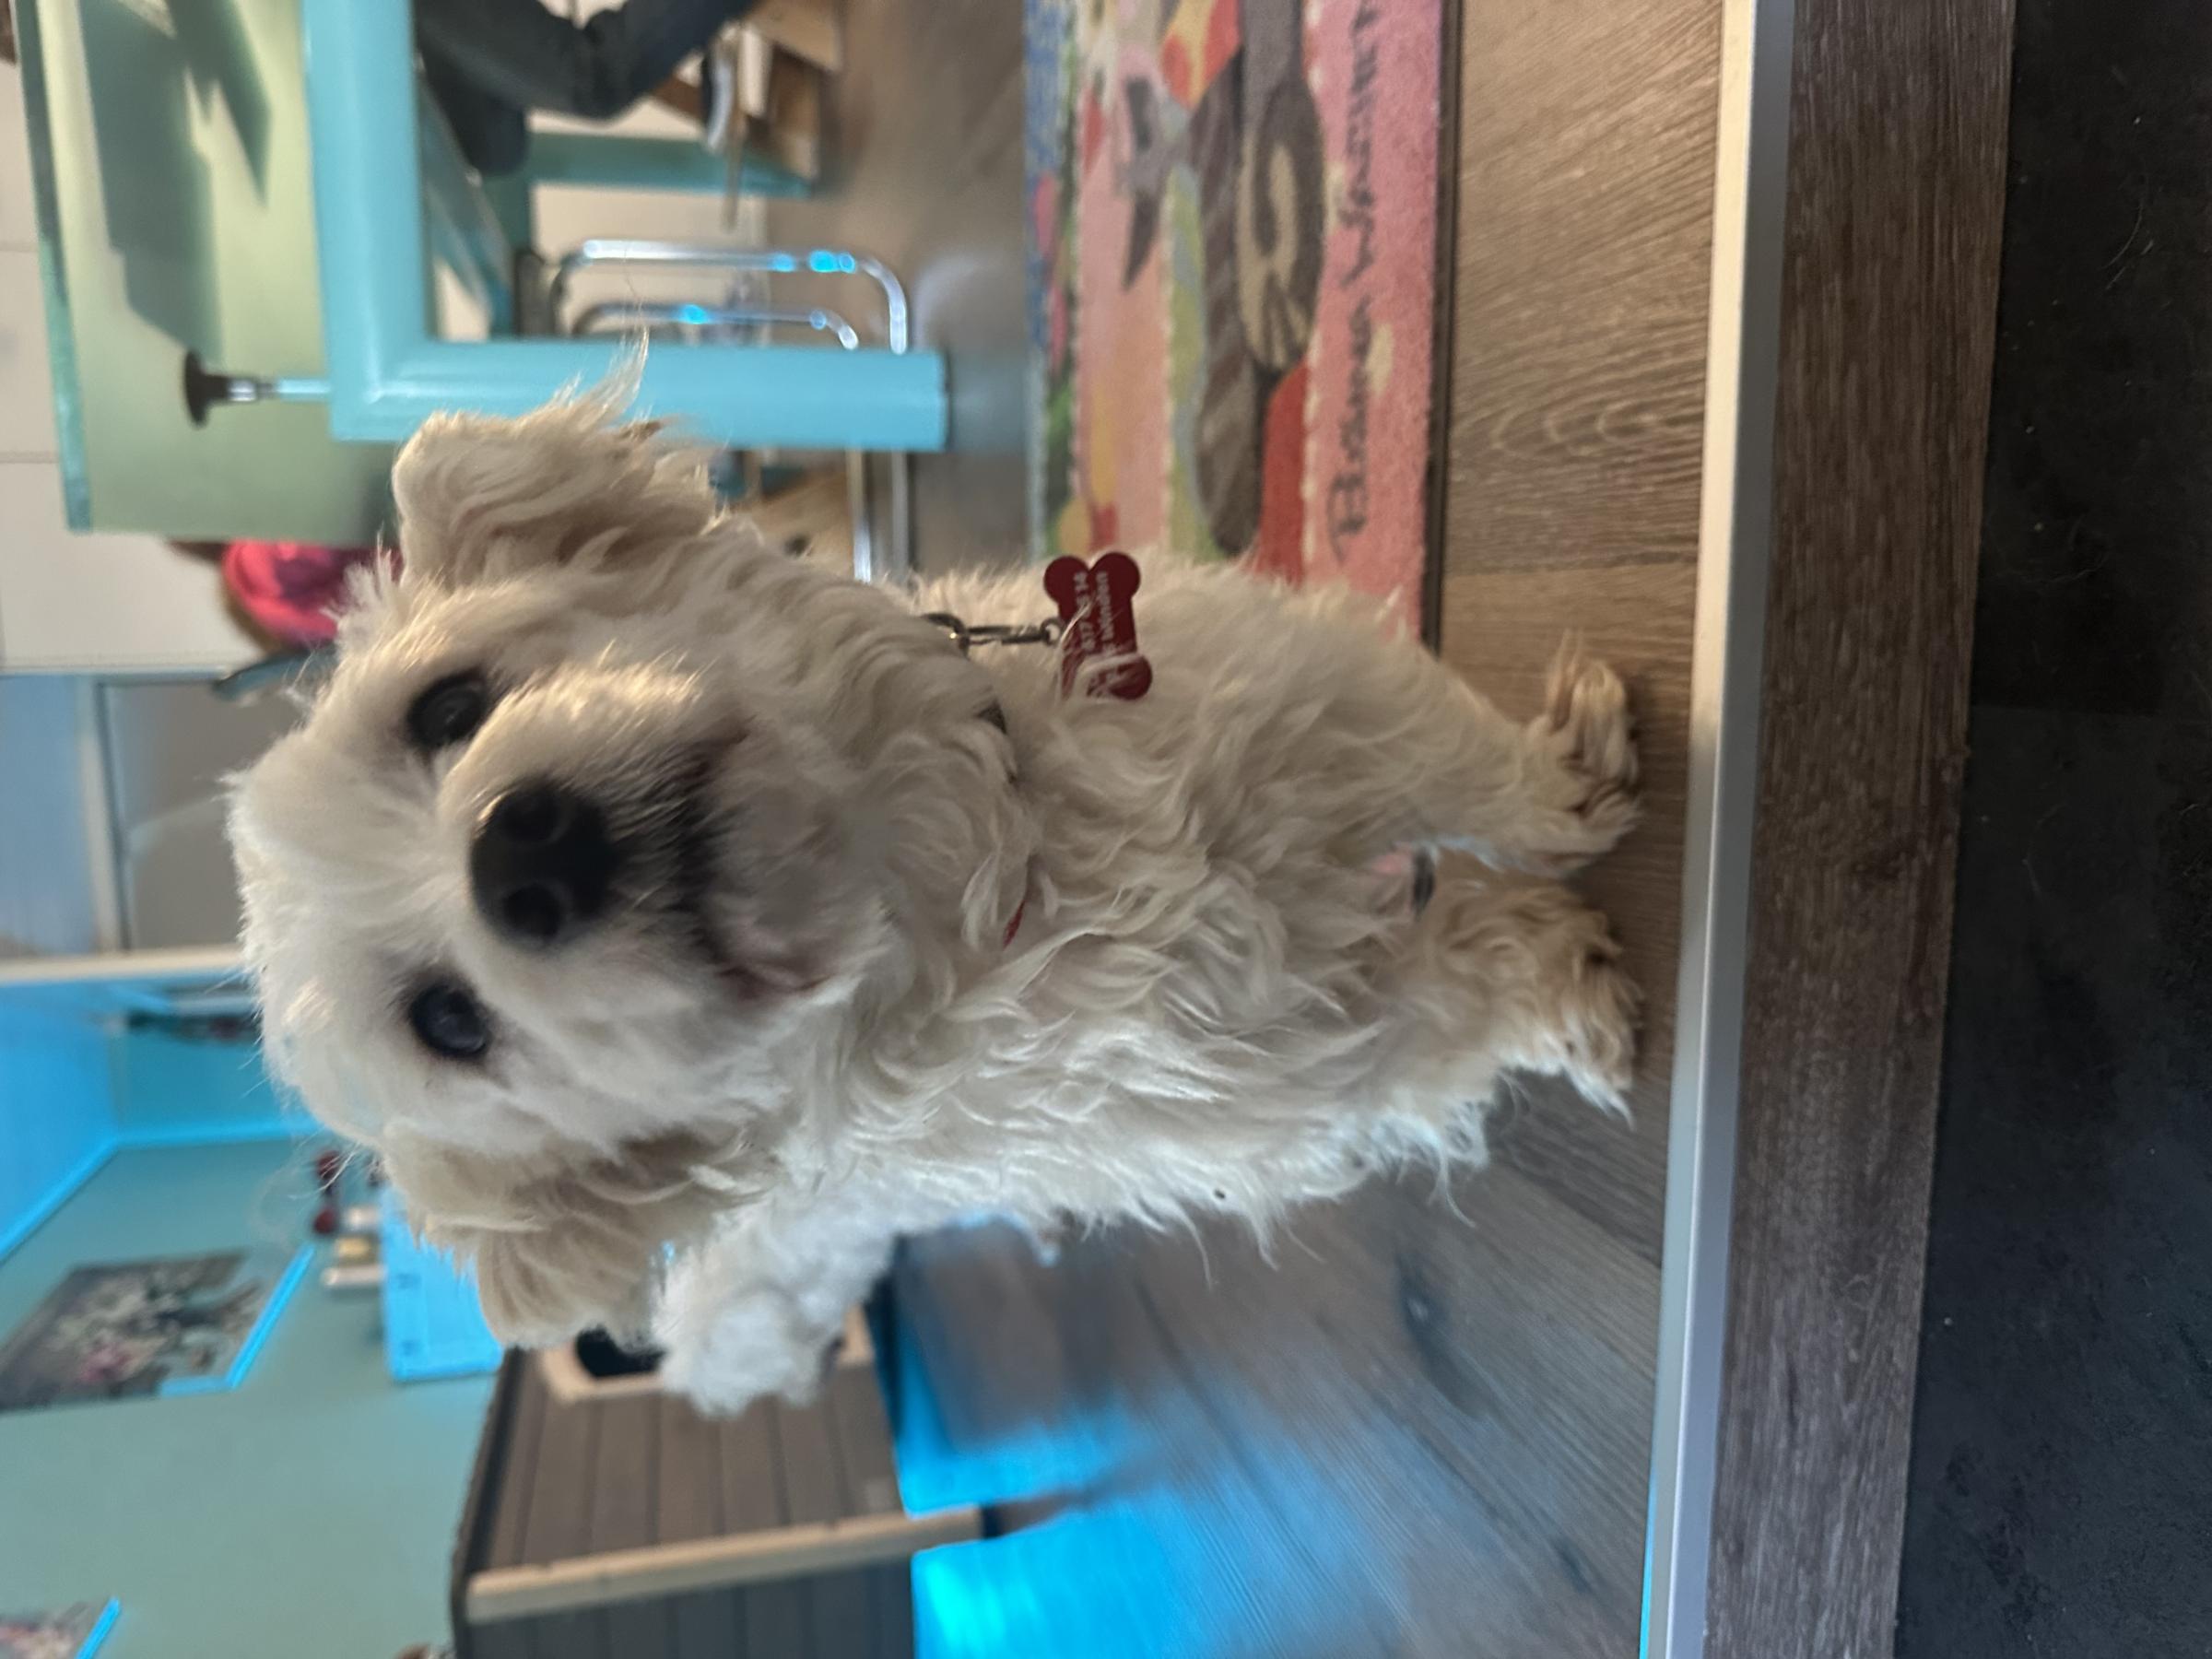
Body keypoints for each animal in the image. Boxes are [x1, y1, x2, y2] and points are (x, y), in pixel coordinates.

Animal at [228, 398, 1640, 1413]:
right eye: (450, 1025)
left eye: (447, 708)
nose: (520, 857)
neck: (997, 880)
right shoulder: (1312, 1066)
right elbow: (1459, 1002)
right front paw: (1568, 991)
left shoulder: (1329, 706)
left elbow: (1477, 772)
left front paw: (1574, 785)